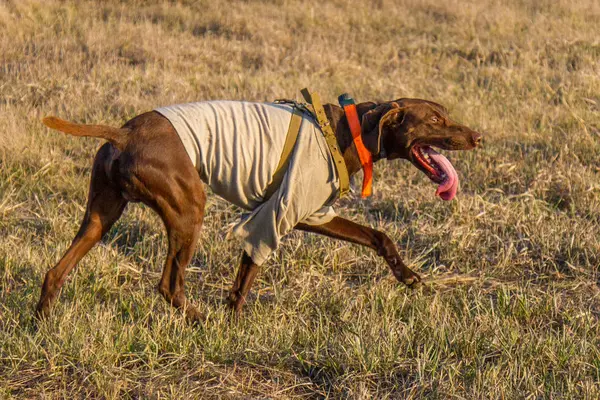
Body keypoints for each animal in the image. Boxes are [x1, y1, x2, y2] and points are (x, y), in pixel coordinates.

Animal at [37, 97, 480, 322]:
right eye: (435, 119)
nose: (478, 136)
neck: (346, 130)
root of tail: (124, 132)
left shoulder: (312, 213)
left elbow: (378, 236)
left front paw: (408, 277)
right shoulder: (277, 214)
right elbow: (247, 273)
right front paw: (231, 323)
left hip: (101, 216)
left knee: (55, 271)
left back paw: (41, 322)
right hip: (188, 210)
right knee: (169, 285)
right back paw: (200, 319)